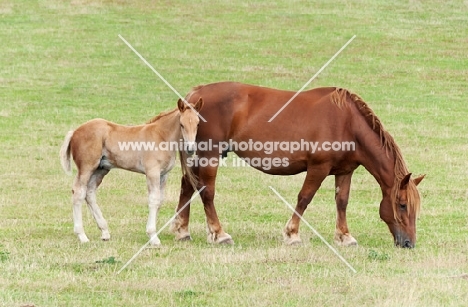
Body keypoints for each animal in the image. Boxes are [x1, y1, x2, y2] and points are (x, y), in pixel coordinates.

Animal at [59, 99, 203, 248]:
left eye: (198, 123)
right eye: (182, 124)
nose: (190, 149)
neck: (162, 136)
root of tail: (75, 131)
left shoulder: (164, 175)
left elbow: (160, 200)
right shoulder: (152, 172)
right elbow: (153, 200)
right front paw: (153, 237)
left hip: (101, 169)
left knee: (90, 193)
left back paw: (105, 232)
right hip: (86, 168)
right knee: (78, 193)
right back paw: (82, 236)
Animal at [171, 82, 424, 250]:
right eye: (402, 205)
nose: (409, 243)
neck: (348, 123)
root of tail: (195, 96)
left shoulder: (345, 171)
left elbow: (342, 202)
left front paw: (344, 236)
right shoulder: (318, 168)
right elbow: (304, 198)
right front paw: (292, 234)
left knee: (187, 186)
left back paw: (182, 230)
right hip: (209, 156)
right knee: (206, 192)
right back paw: (219, 233)